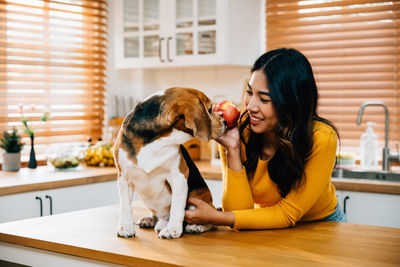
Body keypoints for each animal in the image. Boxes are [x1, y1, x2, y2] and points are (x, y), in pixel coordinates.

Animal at [113, 88, 225, 241]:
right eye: (210, 109)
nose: (225, 121)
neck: (156, 141)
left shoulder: (179, 176)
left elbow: (176, 207)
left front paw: (172, 230)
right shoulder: (123, 178)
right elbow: (125, 206)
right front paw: (125, 227)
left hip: (198, 202)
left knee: (211, 221)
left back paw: (195, 226)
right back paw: (151, 220)